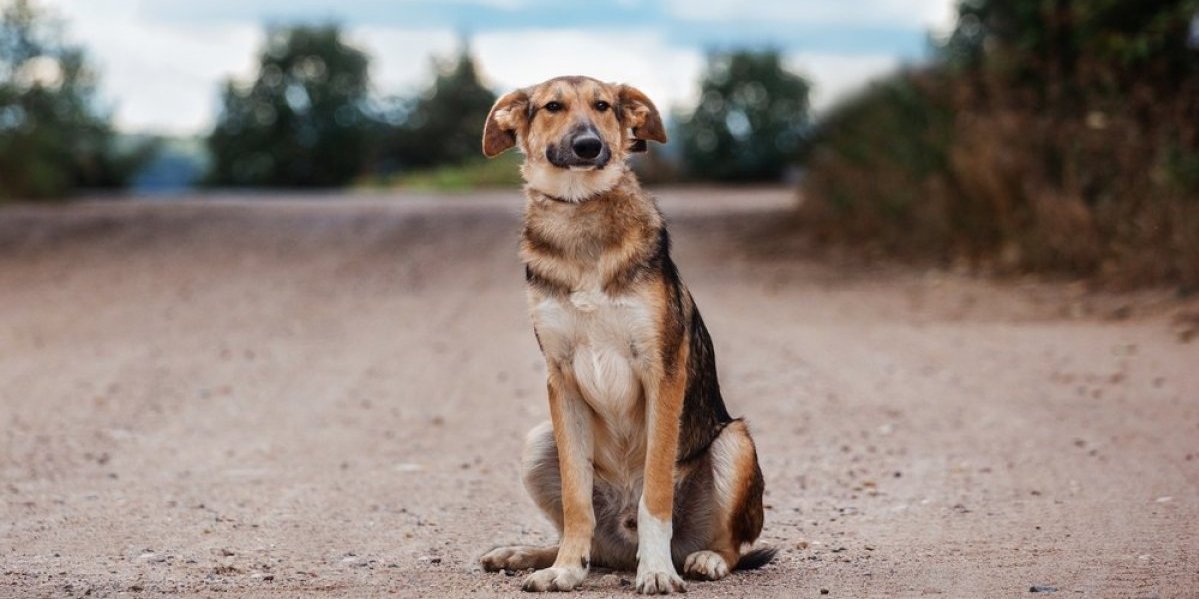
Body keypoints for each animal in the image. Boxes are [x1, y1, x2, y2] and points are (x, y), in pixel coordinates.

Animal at [477, 76, 776, 594]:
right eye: (552, 106)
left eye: (602, 106)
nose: (588, 145)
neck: (579, 215)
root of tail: (622, 544)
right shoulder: (561, 380)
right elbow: (576, 502)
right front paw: (564, 570)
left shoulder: (662, 372)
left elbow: (655, 494)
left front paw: (656, 571)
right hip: (539, 441)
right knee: (593, 543)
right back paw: (531, 555)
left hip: (735, 442)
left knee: (734, 546)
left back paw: (702, 560)